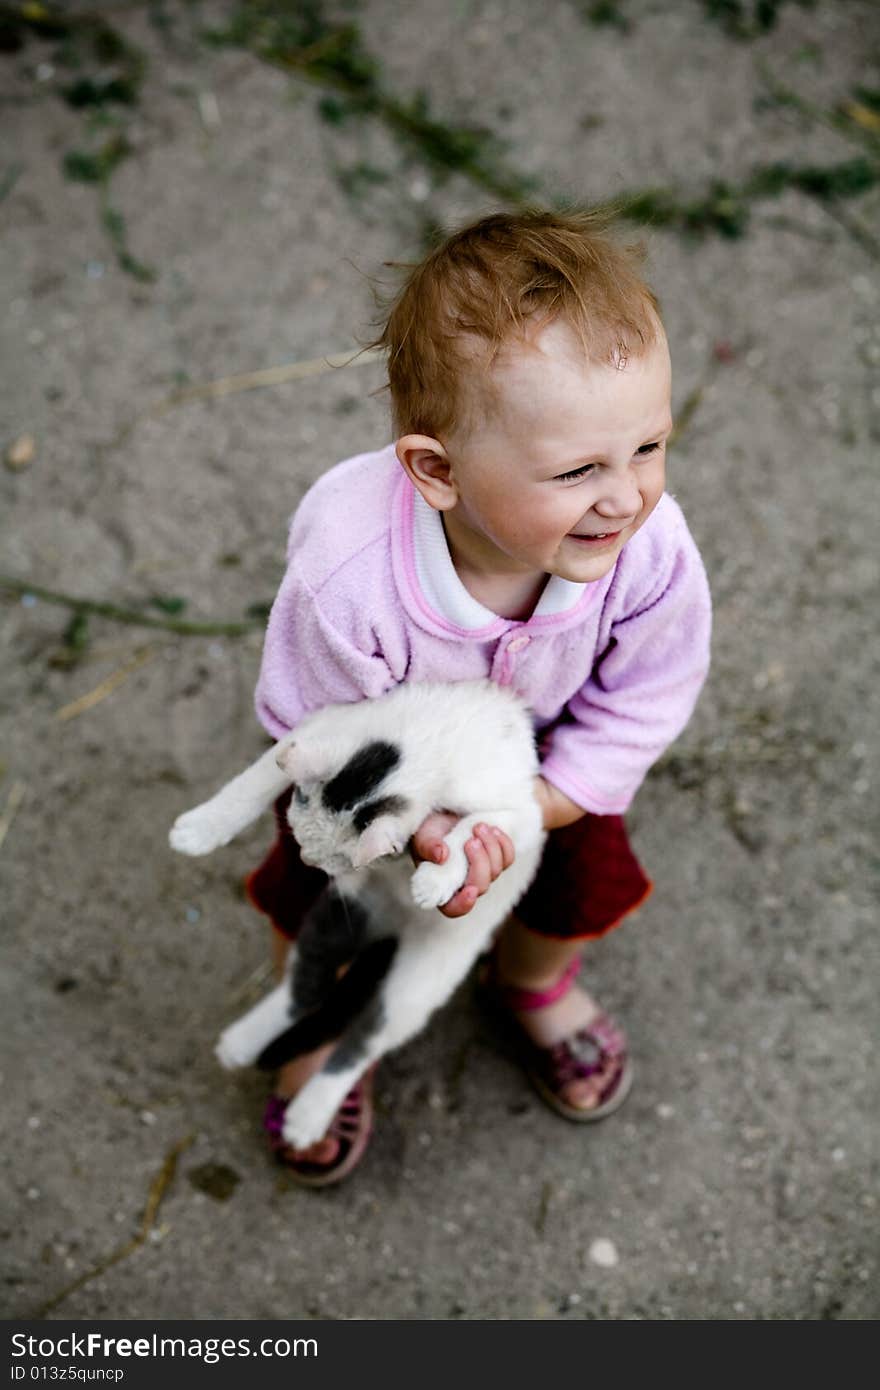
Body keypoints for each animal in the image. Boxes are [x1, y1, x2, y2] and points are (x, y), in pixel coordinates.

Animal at [166, 678, 542, 1145]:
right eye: (297, 824)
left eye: (335, 862)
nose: (306, 860)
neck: (429, 746)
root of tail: (393, 925)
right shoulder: (332, 721)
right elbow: (259, 776)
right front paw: (200, 828)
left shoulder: (521, 812)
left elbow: (472, 830)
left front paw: (434, 880)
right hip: (336, 918)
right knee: (305, 988)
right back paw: (242, 1042)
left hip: (418, 984)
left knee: (365, 1040)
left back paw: (309, 1113)